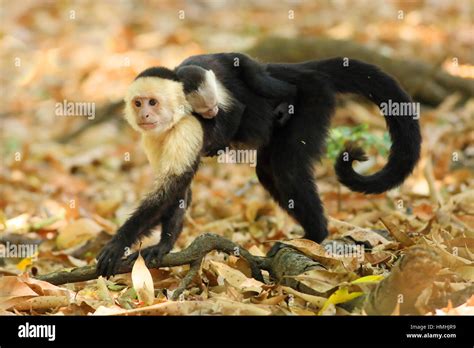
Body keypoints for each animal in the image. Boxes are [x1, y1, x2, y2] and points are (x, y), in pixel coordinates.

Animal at [96, 53, 422, 278]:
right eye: (138, 103)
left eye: (152, 102)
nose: (145, 115)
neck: (175, 118)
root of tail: (301, 71)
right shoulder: (154, 137)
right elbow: (178, 189)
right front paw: (163, 246)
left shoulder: (189, 126)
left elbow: (171, 187)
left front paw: (118, 242)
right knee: (267, 172)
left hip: (312, 98)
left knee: (286, 168)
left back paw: (314, 235)